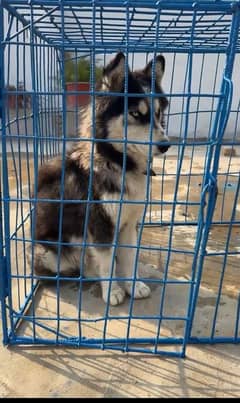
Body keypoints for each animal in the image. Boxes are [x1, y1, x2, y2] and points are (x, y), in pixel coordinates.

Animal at [29, 52, 169, 306]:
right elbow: (106, 261)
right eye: (135, 113)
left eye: (157, 113)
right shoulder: (100, 226)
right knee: (79, 267)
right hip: (49, 252)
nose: (166, 145)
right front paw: (112, 290)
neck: (118, 163)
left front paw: (133, 285)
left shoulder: (129, 224)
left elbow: (129, 257)